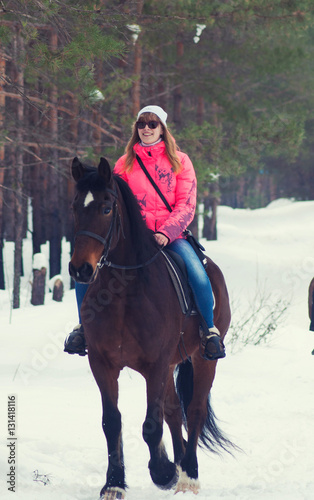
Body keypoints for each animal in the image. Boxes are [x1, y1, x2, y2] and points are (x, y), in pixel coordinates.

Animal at [68, 157, 233, 500]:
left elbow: (150, 425)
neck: (123, 293)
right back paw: (181, 465)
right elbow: (112, 422)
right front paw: (114, 482)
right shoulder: (102, 363)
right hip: (171, 364)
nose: (80, 269)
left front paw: (163, 472)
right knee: (173, 411)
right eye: (75, 206)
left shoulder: (155, 365)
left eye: (106, 208)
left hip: (202, 360)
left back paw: (188, 475)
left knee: (194, 410)